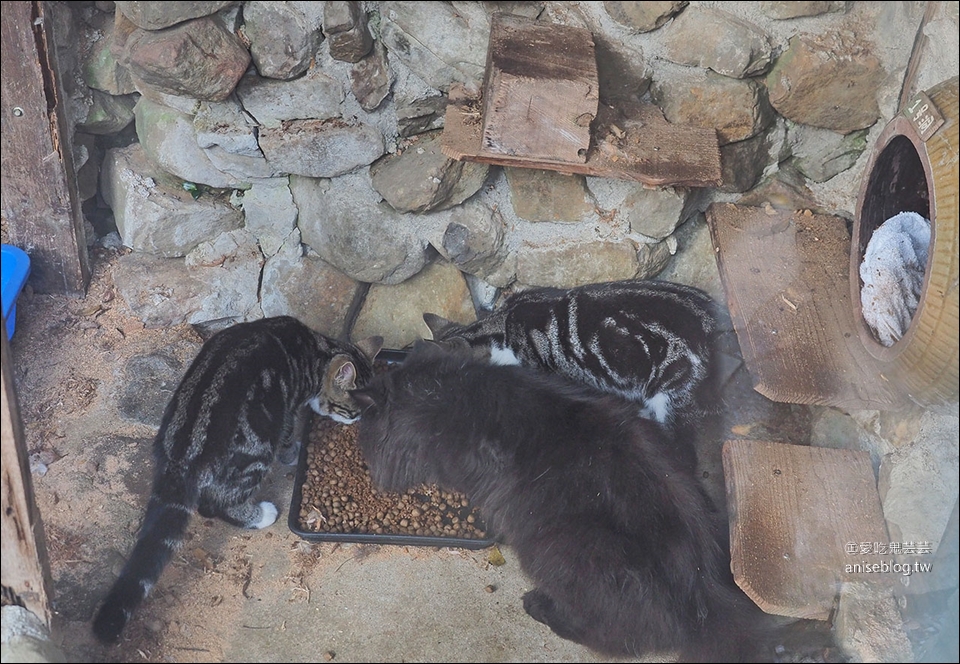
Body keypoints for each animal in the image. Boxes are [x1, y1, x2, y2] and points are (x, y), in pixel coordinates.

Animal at [93, 316, 382, 644]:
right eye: (354, 411)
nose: (360, 423)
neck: (315, 350)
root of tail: (181, 459)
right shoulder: (287, 409)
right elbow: (287, 434)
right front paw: (293, 452)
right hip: (258, 449)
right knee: (221, 504)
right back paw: (260, 515)